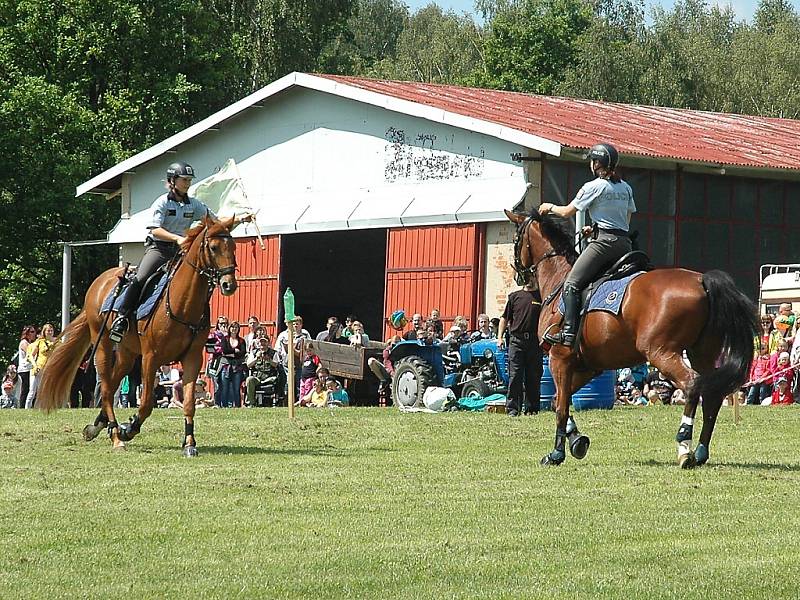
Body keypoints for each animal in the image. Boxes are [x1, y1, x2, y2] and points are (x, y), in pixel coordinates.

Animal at [37, 216, 238, 454]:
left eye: (233, 247)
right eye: (214, 247)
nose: (229, 284)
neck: (182, 304)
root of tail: (100, 282)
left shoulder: (193, 358)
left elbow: (189, 403)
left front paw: (189, 444)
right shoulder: (150, 358)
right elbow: (146, 403)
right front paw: (129, 428)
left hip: (127, 353)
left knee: (112, 384)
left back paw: (99, 426)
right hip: (103, 345)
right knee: (106, 388)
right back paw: (116, 435)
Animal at [506, 211, 756, 468]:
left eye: (515, 238)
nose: (517, 273)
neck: (558, 280)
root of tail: (701, 280)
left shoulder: (560, 360)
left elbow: (561, 409)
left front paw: (557, 454)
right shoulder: (590, 367)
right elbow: (558, 400)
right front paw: (577, 441)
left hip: (660, 352)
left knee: (692, 385)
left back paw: (684, 447)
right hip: (702, 353)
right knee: (711, 394)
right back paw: (701, 452)